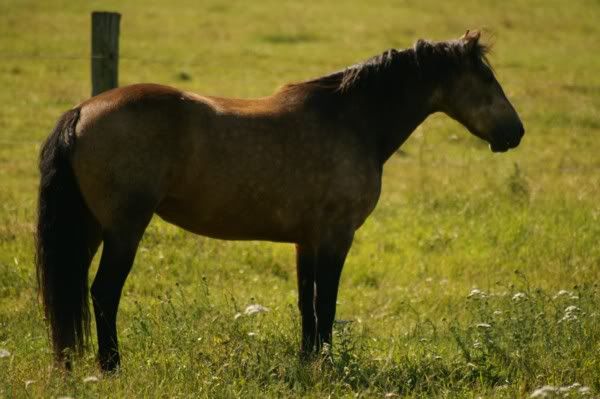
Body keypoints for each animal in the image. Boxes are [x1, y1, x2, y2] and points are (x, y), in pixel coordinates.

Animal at [37, 30, 524, 372]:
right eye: (486, 78)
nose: (516, 132)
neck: (352, 120)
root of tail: (82, 111)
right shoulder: (335, 237)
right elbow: (326, 304)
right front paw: (326, 364)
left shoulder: (306, 240)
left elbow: (306, 303)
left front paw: (308, 360)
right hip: (124, 230)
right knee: (103, 293)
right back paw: (112, 366)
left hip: (91, 230)